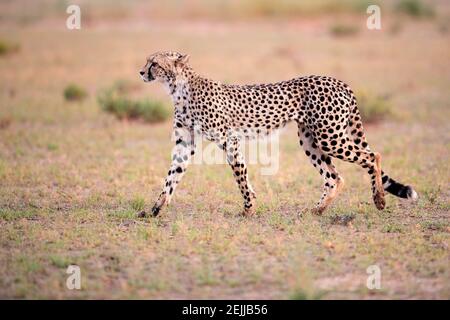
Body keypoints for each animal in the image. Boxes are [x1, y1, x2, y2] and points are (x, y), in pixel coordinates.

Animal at [138, 51, 418, 218]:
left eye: (155, 64)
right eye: (148, 61)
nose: (141, 72)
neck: (178, 88)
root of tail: (338, 81)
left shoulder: (229, 140)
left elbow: (240, 174)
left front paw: (249, 207)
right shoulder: (184, 144)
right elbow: (171, 177)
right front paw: (155, 208)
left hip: (330, 136)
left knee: (372, 156)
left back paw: (379, 199)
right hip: (310, 139)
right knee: (334, 176)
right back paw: (318, 209)